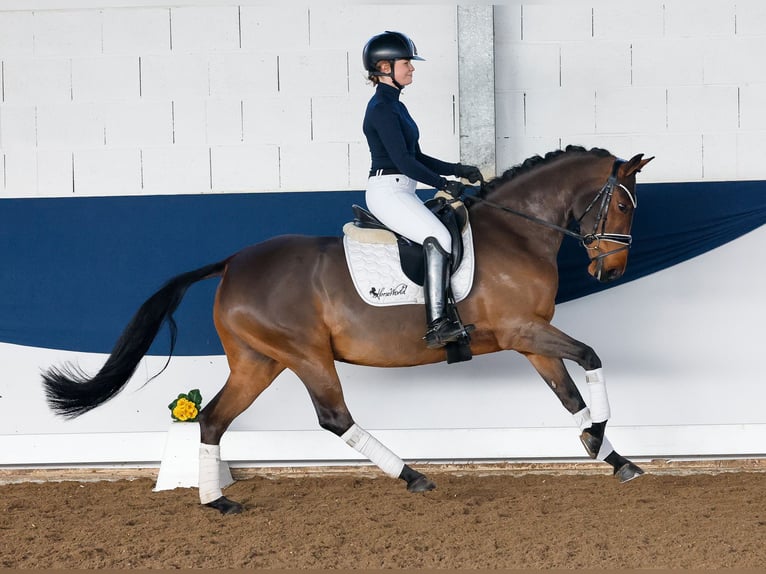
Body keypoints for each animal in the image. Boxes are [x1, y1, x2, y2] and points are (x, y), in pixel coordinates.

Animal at [42, 146, 656, 516]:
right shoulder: (522, 330)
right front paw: (600, 438)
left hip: (259, 361)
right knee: (334, 416)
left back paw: (217, 501)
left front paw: (610, 454)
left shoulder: (530, 337)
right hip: (305, 355)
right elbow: (591, 358)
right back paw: (412, 476)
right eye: (624, 207)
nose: (612, 272)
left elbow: (570, 394)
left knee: (213, 418)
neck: (516, 233)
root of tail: (233, 263)